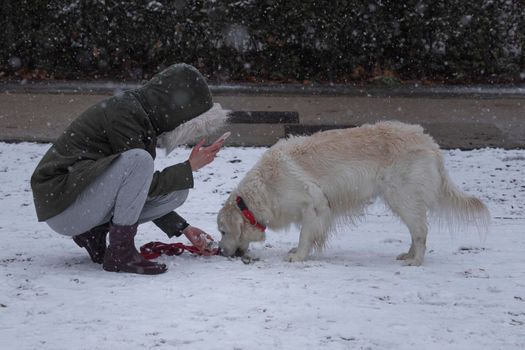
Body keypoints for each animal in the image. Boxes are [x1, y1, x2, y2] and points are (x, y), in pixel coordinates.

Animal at [216, 120, 488, 266]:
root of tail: (429, 142)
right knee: (417, 231)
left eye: (223, 231)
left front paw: (299, 255)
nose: (219, 251)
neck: (264, 188)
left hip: (402, 197)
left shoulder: (314, 203)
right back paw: (408, 255)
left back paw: (415, 260)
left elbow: (305, 234)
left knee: (421, 231)